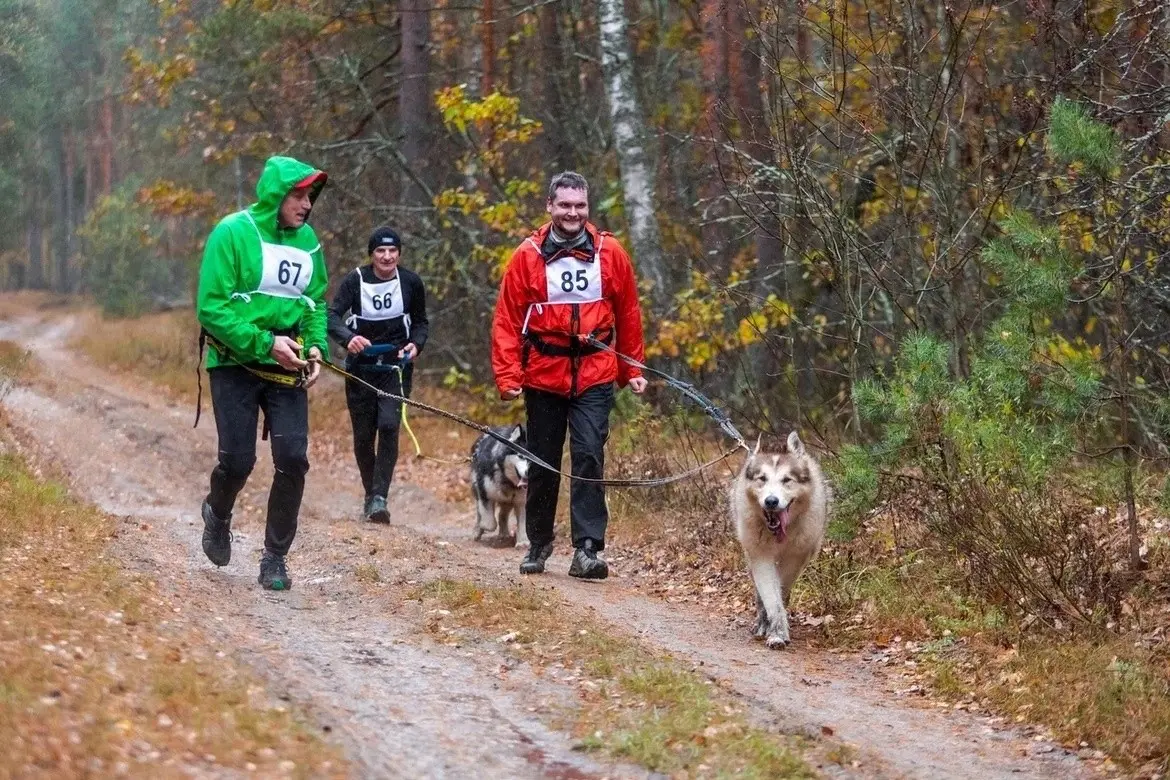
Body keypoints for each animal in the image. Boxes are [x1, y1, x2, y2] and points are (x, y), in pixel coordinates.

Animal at [734, 432, 828, 645]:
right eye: (762, 478)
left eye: (787, 480)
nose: (771, 501)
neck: (777, 535)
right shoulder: (760, 556)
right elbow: (771, 596)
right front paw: (776, 632)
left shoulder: (796, 557)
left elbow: (782, 589)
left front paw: (777, 628)